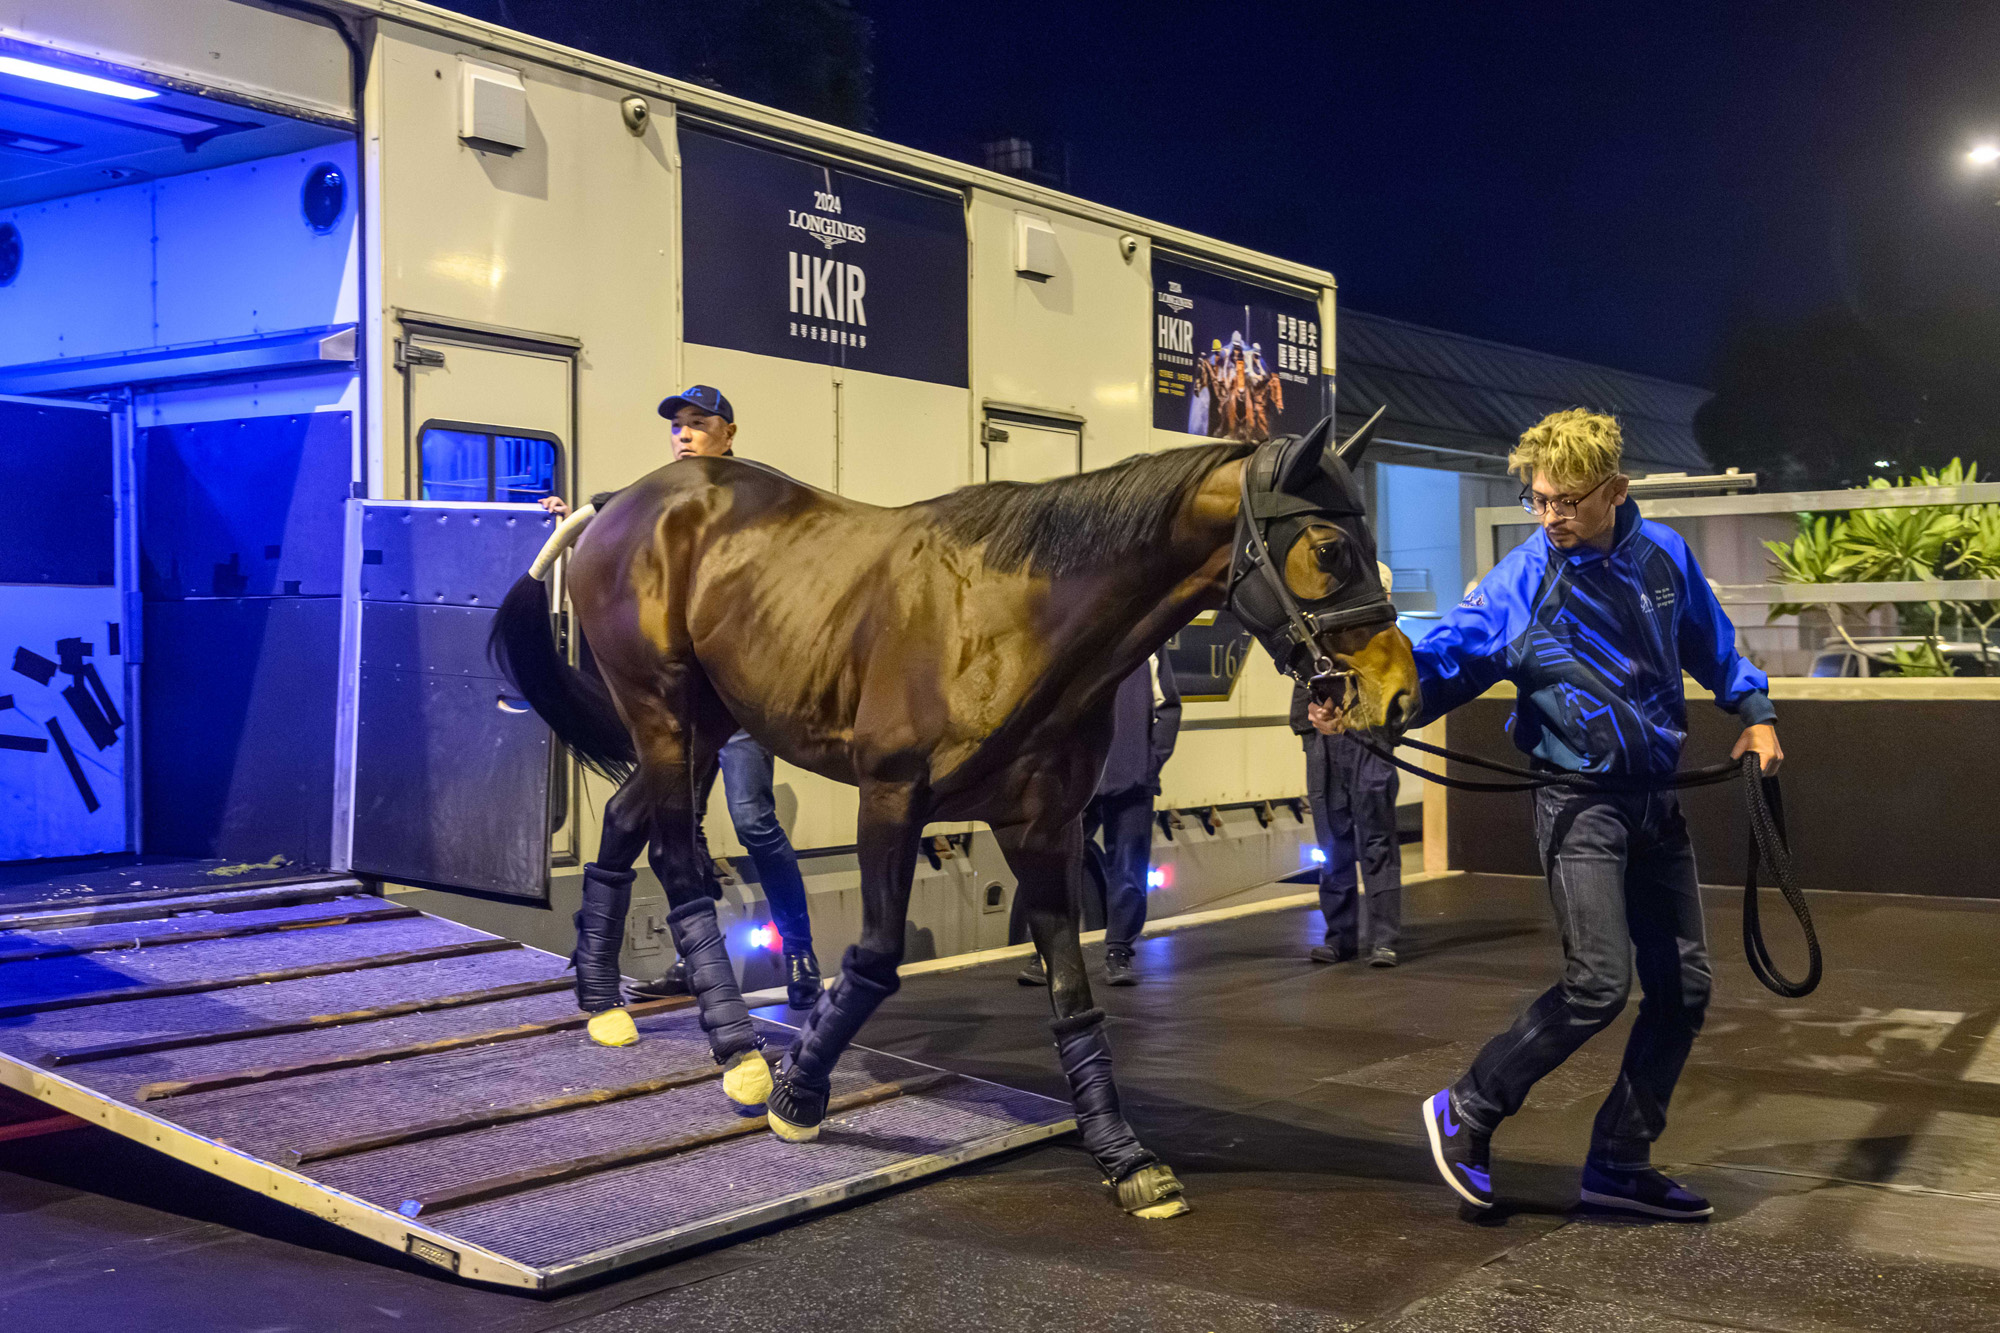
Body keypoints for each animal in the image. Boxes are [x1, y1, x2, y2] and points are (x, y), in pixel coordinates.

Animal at [492, 412, 1416, 1216]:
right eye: (1330, 547)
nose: (1397, 691)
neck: (1015, 623)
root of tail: (627, 499)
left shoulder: (1043, 826)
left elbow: (1072, 992)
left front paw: (1122, 1154)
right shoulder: (891, 798)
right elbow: (874, 957)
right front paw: (799, 1091)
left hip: (705, 725)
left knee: (623, 824)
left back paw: (602, 1001)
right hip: (663, 713)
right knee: (679, 863)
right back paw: (739, 1054)